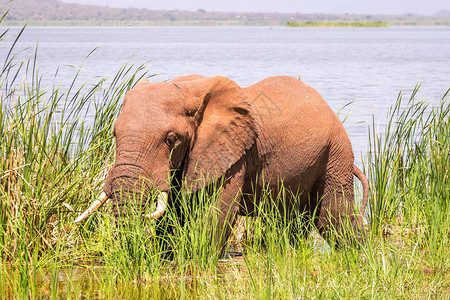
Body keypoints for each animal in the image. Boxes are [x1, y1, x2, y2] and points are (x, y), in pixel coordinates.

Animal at [74, 74, 370, 248]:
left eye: (171, 139)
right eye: (114, 133)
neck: (190, 89)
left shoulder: (233, 154)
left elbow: (216, 213)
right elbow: (173, 214)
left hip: (336, 153)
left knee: (334, 219)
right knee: (290, 221)